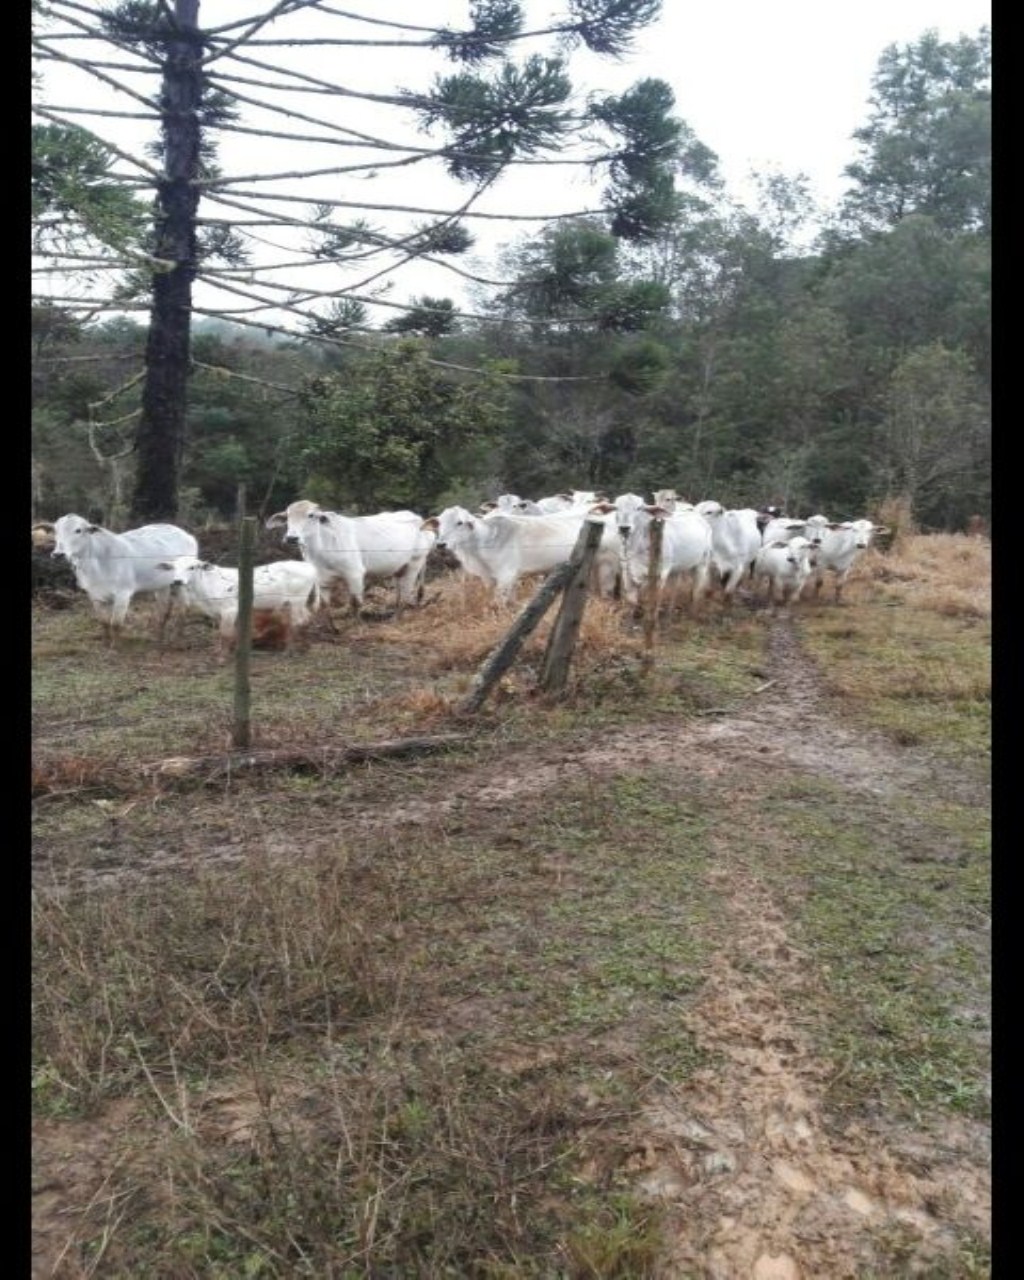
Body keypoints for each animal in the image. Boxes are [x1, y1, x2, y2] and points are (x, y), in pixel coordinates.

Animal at [161, 552, 320, 650]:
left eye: (192, 567)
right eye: (173, 567)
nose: (177, 581)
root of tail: (309, 566)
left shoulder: (229, 609)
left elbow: (226, 634)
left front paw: (222, 658)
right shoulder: (219, 613)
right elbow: (225, 632)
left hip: (297, 601)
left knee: (298, 621)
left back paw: (289, 650)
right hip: (298, 602)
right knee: (306, 619)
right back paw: (305, 646)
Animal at [263, 499, 432, 614]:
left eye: (310, 515)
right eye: (287, 517)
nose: (291, 538)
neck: (320, 550)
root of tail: (419, 518)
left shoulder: (355, 573)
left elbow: (355, 603)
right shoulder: (321, 579)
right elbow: (323, 604)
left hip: (415, 563)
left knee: (406, 590)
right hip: (400, 568)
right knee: (400, 587)